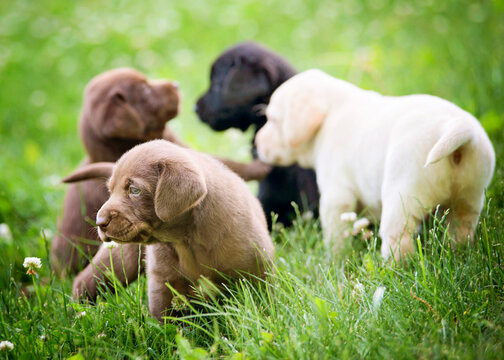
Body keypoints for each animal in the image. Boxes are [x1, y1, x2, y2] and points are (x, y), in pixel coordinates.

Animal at [258, 69, 494, 260]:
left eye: (274, 121)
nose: (257, 143)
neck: (331, 114)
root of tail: (455, 127)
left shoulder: (337, 196)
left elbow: (336, 236)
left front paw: (335, 259)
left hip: (401, 197)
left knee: (399, 239)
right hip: (469, 199)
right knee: (461, 229)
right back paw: (458, 254)